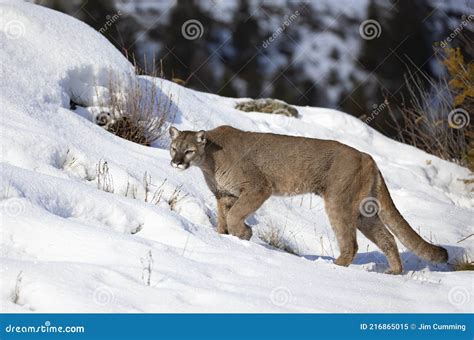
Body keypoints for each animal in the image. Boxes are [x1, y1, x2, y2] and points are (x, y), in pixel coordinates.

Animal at [168, 125, 448, 274]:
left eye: (188, 150)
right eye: (174, 148)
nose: (176, 162)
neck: (209, 161)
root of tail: (368, 157)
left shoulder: (258, 188)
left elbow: (236, 214)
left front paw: (244, 234)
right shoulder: (224, 195)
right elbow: (223, 219)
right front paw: (224, 238)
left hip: (338, 202)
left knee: (351, 243)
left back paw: (334, 266)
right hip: (362, 212)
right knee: (388, 238)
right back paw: (394, 272)